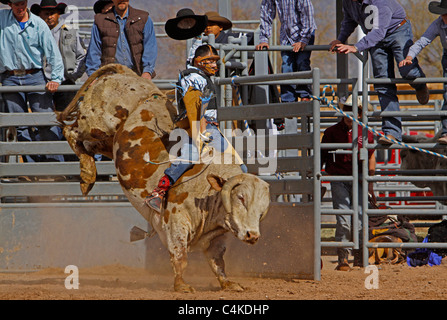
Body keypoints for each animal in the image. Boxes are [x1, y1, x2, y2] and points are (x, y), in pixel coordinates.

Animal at [57, 63, 272, 292]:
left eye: (262, 209)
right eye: (240, 198)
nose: (252, 236)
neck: (207, 195)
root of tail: (126, 74)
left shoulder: (216, 239)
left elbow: (218, 263)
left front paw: (228, 283)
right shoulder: (175, 221)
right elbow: (180, 256)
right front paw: (181, 285)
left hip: (106, 141)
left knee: (85, 145)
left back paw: (88, 174)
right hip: (95, 125)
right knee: (70, 131)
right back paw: (87, 175)